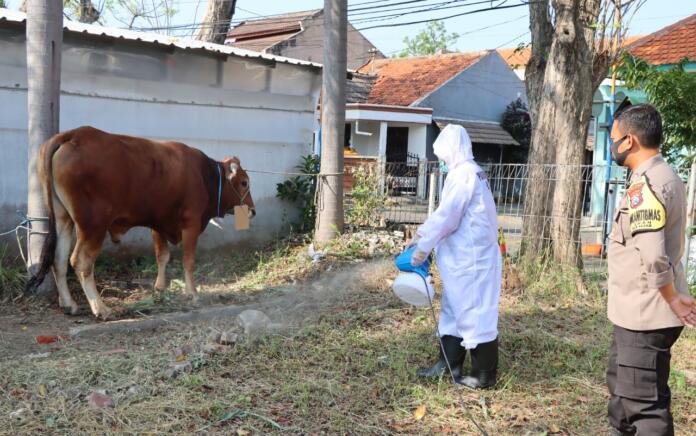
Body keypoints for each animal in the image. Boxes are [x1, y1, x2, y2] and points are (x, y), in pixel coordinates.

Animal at [27, 126, 256, 320]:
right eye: (244, 182)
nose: (252, 210)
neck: (204, 175)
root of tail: (72, 135)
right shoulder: (191, 223)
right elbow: (188, 261)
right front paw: (192, 293)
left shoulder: (159, 224)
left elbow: (162, 256)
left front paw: (160, 288)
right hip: (93, 226)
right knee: (80, 262)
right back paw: (100, 308)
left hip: (63, 219)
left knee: (58, 260)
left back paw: (69, 304)